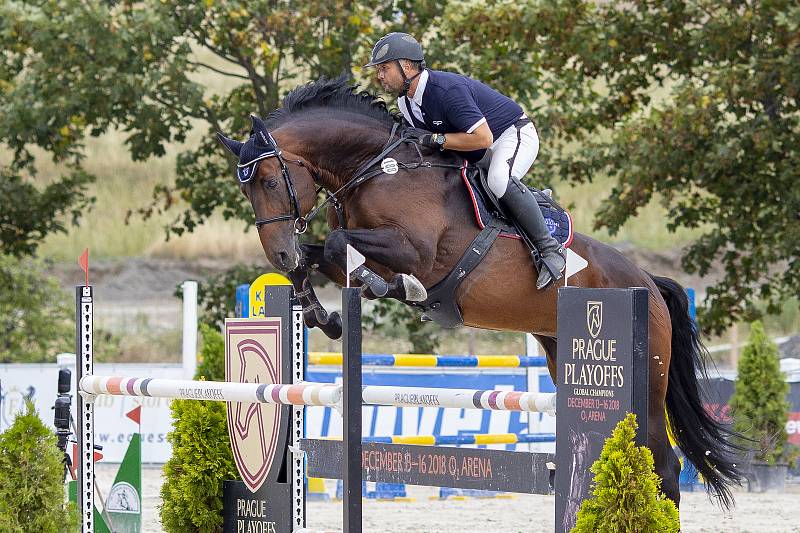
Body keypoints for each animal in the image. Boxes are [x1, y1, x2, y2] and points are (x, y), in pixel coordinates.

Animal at [216, 75, 740, 508]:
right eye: (246, 190)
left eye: (269, 181)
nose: (276, 254)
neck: (377, 169)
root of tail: (649, 283)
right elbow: (320, 255)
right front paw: (321, 314)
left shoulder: (417, 250)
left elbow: (344, 247)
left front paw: (392, 287)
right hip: (560, 355)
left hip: (646, 382)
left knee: (664, 464)